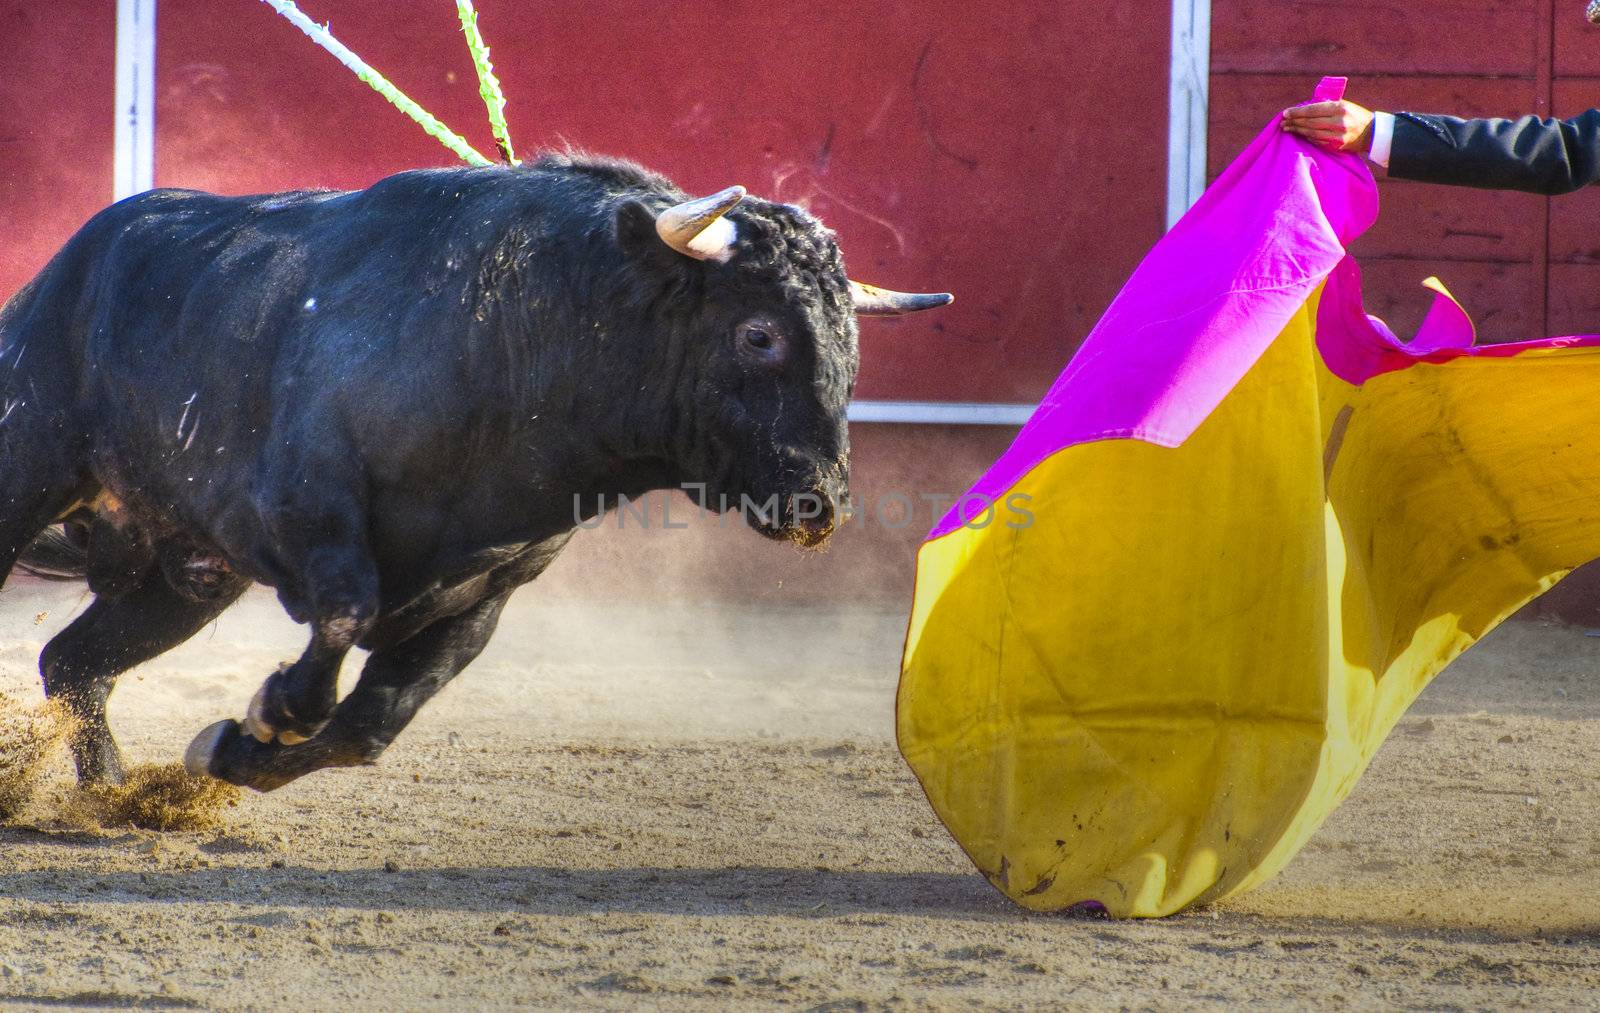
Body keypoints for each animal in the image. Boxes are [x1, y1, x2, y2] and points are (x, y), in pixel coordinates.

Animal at [0, 154, 940, 793]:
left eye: (851, 346)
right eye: (758, 333)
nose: (822, 501)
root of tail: (59, 273)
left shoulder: (484, 596)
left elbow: (371, 724)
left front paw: (230, 749)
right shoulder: (301, 511)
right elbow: (343, 620)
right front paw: (270, 711)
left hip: (187, 576)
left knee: (73, 662)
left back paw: (114, 791)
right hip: (30, 470)